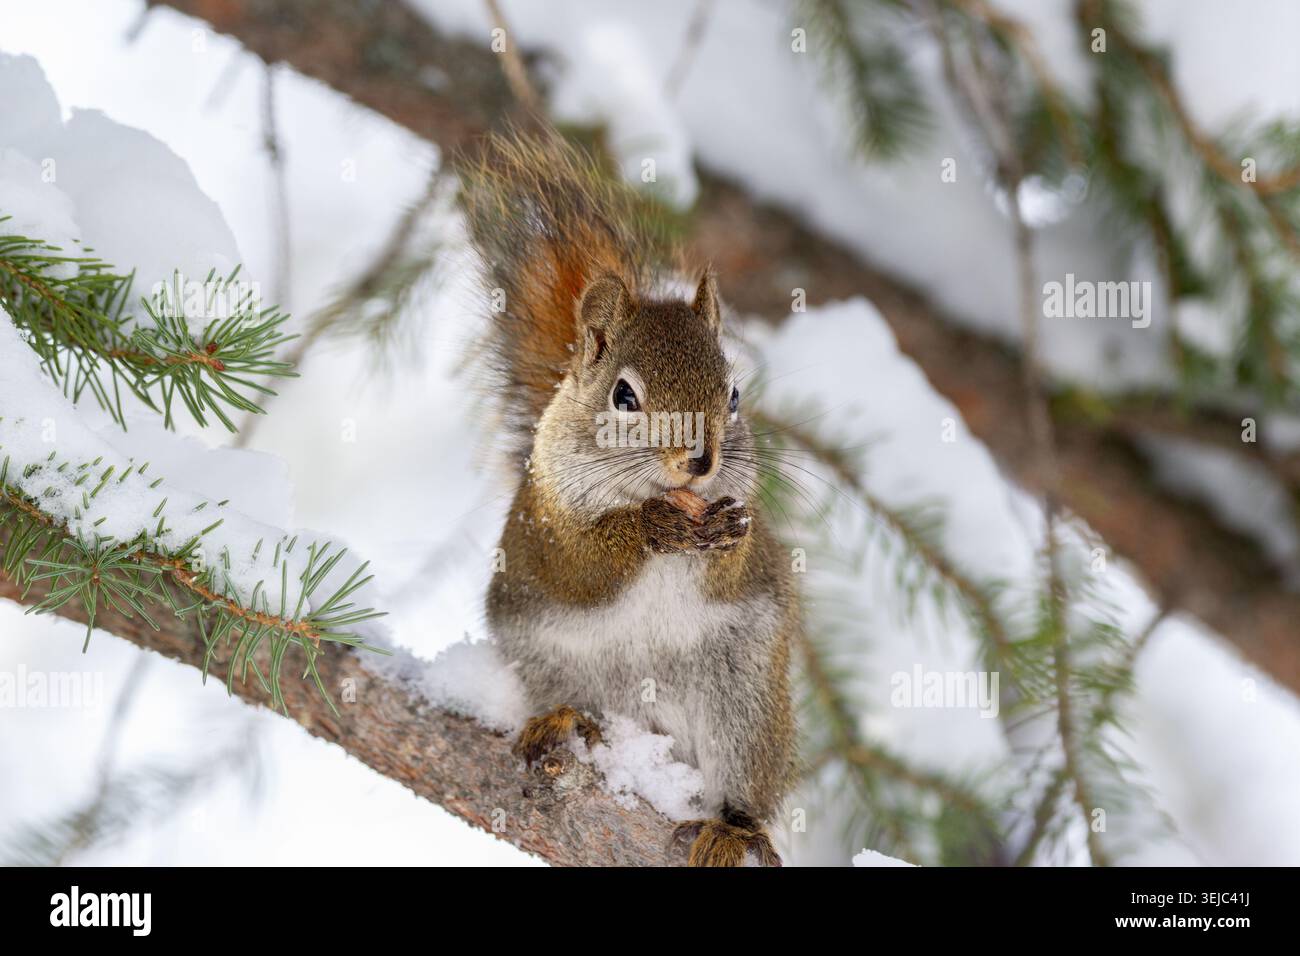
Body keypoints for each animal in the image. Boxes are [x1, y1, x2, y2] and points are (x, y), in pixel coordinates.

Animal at [462, 133, 799, 867]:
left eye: (734, 394)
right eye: (623, 396)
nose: (699, 462)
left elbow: (733, 562)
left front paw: (725, 532)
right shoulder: (548, 522)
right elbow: (584, 566)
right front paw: (649, 526)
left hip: (746, 702)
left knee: (744, 778)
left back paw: (733, 828)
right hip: (555, 664)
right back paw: (566, 721)